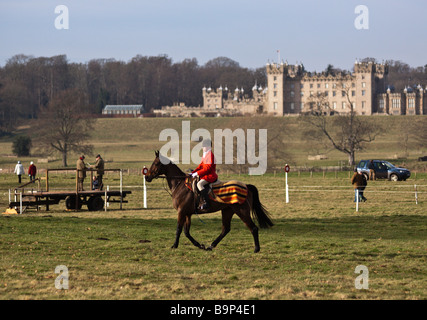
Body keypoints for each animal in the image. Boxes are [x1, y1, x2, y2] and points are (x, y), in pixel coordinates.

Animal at [145, 150, 274, 252]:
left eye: (156, 163)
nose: (147, 177)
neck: (180, 184)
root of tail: (246, 186)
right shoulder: (187, 214)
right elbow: (186, 232)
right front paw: (199, 245)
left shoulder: (181, 212)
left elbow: (179, 229)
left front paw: (174, 245)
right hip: (227, 211)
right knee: (225, 229)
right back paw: (211, 246)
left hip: (242, 212)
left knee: (253, 228)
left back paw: (256, 249)